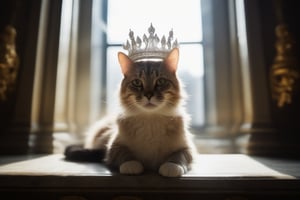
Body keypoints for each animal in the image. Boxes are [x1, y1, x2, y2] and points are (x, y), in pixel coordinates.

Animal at [64, 47, 196, 177]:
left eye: (161, 81)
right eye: (137, 83)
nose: (148, 95)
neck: (150, 120)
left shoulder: (187, 148)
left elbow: (179, 157)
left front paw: (171, 167)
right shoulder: (113, 147)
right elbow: (125, 155)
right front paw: (132, 165)